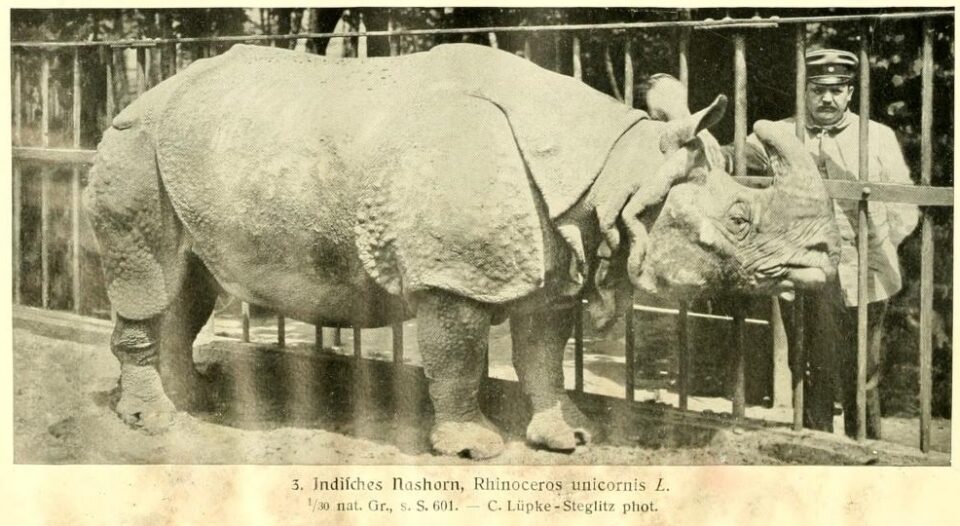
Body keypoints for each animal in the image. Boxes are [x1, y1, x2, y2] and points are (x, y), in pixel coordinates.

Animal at [85, 43, 839, 459]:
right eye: (740, 219)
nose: (827, 258)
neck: (617, 174)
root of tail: (146, 93)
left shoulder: (554, 252)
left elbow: (542, 354)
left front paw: (568, 438)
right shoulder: (454, 276)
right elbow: (459, 357)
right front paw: (474, 447)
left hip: (195, 150)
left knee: (190, 285)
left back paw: (193, 399)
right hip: (133, 144)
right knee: (150, 278)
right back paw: (155, 420)